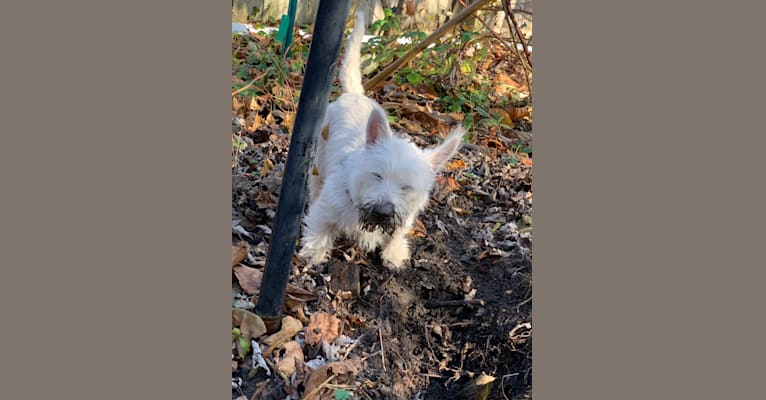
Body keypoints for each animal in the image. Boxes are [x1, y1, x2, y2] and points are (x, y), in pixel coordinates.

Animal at [302, 8, 464, 268]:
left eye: (406, 187)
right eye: (377, 175)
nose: (383, 211)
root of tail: (356, 95)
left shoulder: (404, 217)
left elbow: (396, 234)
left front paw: (394, 253)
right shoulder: (327, 208)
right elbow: (320, 228)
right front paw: (313, 253)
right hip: (319, 161)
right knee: (315, 184)